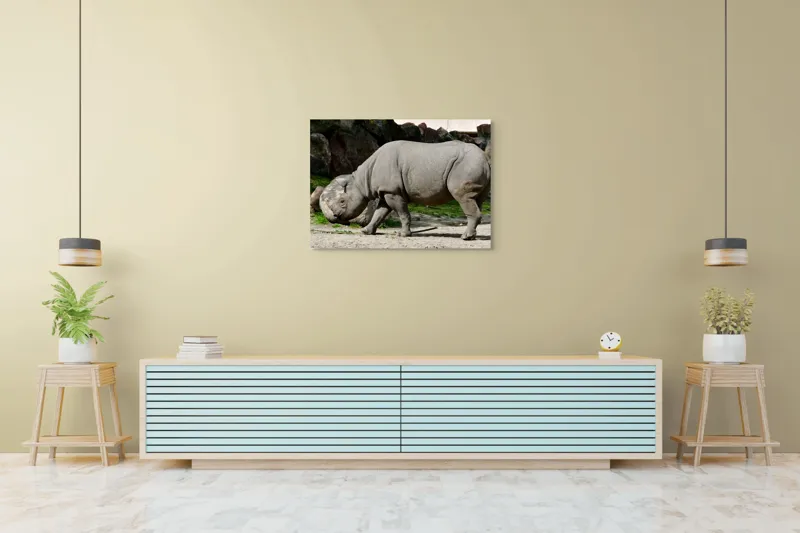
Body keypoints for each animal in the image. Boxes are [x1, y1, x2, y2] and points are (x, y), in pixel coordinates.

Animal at [319, 140, 491, 240]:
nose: (335, 217)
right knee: (477, 200)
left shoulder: (393, 192)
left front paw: (403, 235)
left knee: (463, 197)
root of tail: (485, 157)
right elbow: (379, 214)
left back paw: (464, 237)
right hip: (474, 165)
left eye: (342, 201)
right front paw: (366, 232)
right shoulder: (386, 192)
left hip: (466, 165)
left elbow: (402, 213)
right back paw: (472, 237)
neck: (361, 180)